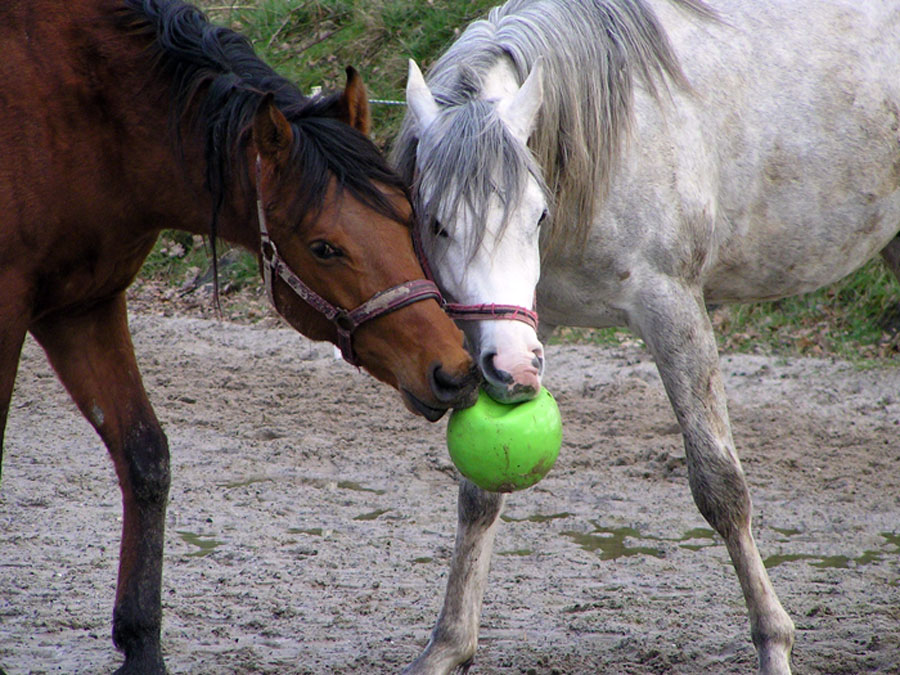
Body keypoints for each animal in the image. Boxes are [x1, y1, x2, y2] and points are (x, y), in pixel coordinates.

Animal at [0, 2, 478, 672]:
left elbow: (145, 457)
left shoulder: (84, 307)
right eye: (324, 247)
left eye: (408, 213)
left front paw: (141, 645)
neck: (80, 117)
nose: (453, 370)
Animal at [392, 0, 900, 672]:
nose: (515, 369)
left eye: (537, 214)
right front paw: (447, 646)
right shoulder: (524, 322)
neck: (613, 141)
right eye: (435, 222)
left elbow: (721, 488)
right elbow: (480, 494)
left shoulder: (672, 309)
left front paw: (775, 644)